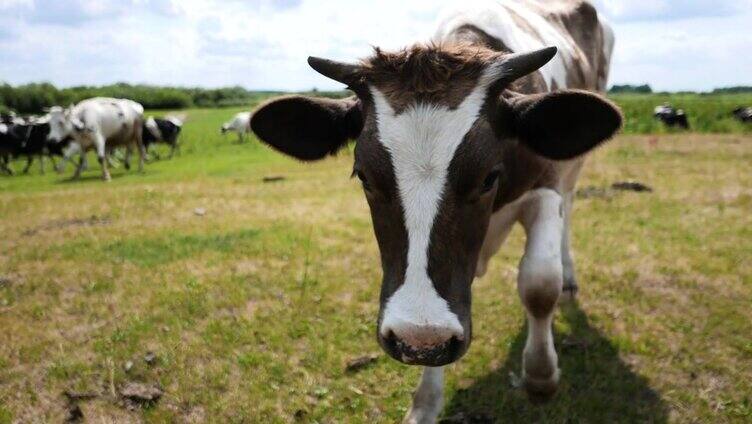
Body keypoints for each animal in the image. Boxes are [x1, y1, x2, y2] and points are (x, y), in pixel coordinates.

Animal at [250, 1, 620, 422]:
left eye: (489, 177)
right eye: (364, 176)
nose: (419, 337)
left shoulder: (546, 185)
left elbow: (540, 284)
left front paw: (541, 376)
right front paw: (425, 402)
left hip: (574, 166)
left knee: (570, 209)